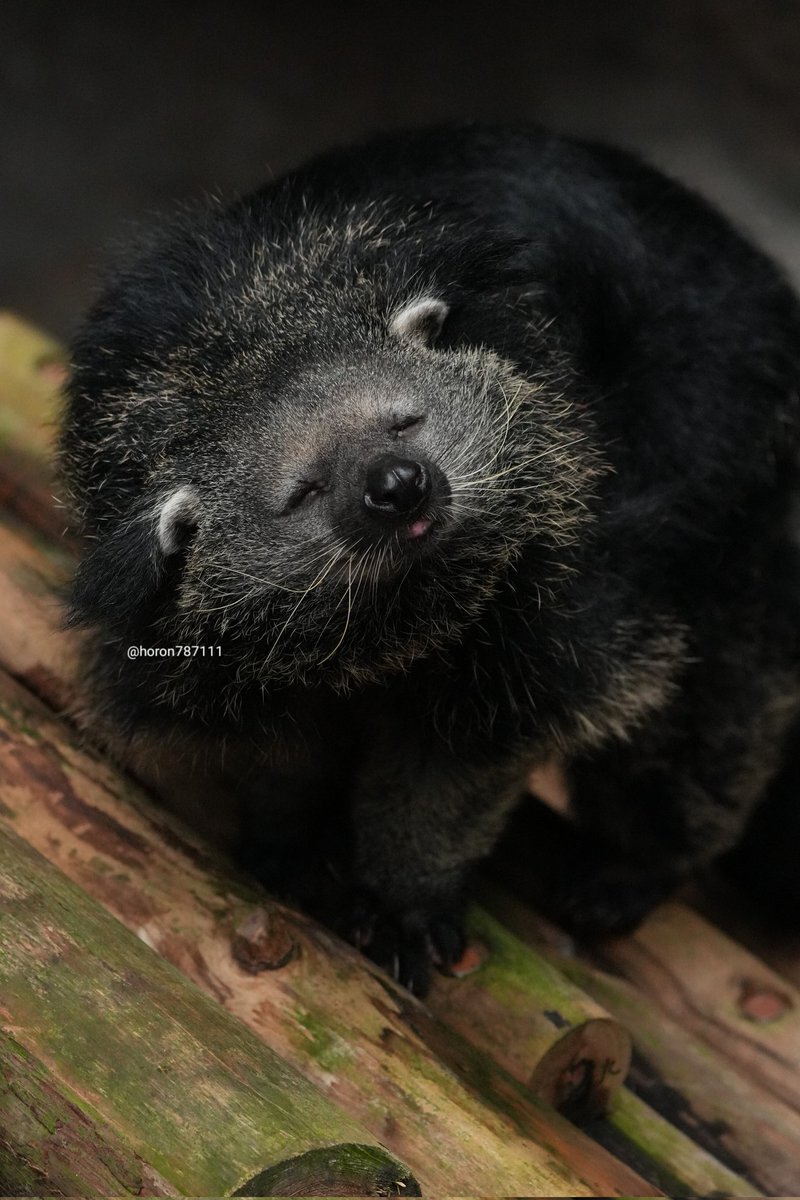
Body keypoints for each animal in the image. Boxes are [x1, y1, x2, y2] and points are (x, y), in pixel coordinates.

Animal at [59, 123, 800, 995]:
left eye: (404, 421)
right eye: (304, 490)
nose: (398, 486)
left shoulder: (559, 575)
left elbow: (457, 763)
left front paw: (403, 889)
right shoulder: (176, 631)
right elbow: (269, 730)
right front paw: (294, 830)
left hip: (747, 503)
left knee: (706, 714)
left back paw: (637, 861)